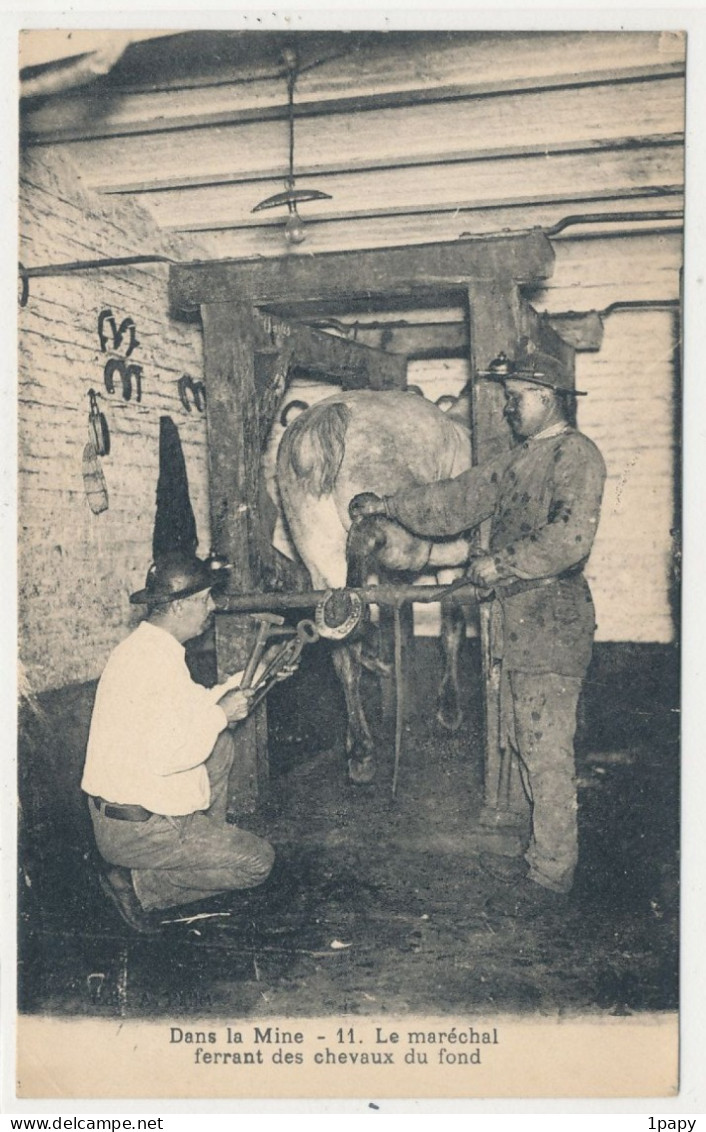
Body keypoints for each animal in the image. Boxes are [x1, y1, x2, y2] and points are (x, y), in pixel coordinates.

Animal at [274, 384, 475, 783]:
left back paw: (362, 749)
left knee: (342, 646)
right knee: (372, 537)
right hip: (405, 533)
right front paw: (449, 709)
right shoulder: (451, 567)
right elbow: (452, 628)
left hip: (322, 557)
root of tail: (324, 417)